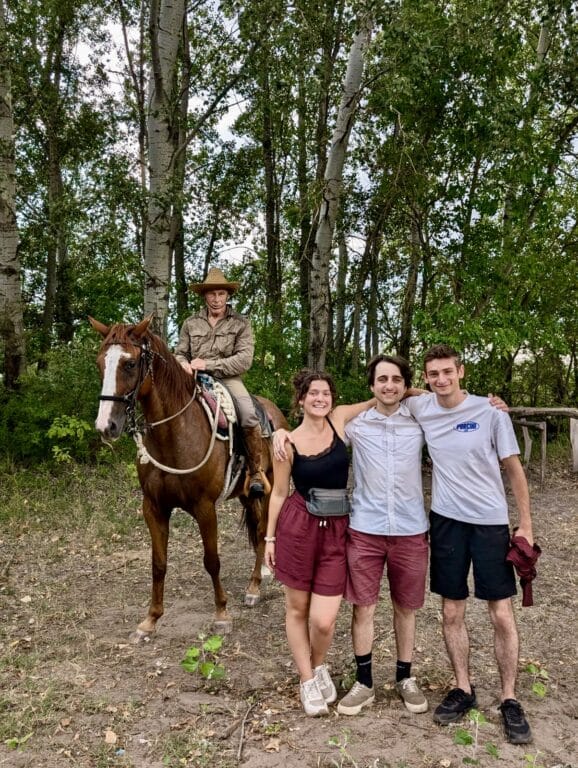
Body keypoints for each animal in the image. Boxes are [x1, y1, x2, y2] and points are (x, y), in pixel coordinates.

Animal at [89, 316, 287, 639]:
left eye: (130, 364)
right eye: (100, 363)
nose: (106, 426)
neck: (176, 434)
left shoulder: (205, 507)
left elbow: (212, 560)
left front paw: (221, 614)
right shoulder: (153, 507)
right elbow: (158, 563)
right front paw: (151, 619)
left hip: (269, 490)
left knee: (261, 532)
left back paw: (255, 587)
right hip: (247, 495)